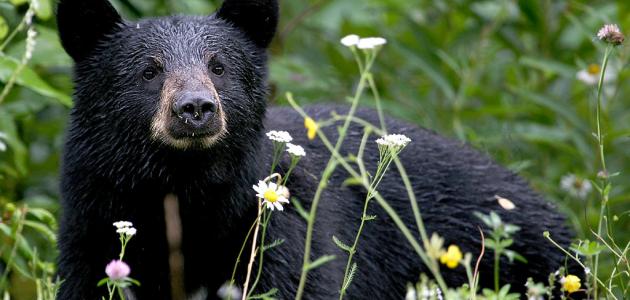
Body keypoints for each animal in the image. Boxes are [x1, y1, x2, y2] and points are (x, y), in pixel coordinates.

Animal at [56, 0, 576, 298]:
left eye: (219, 66)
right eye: (149, 70)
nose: (196, 108)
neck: (185, 191)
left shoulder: (279, 230)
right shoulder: (93, 220)